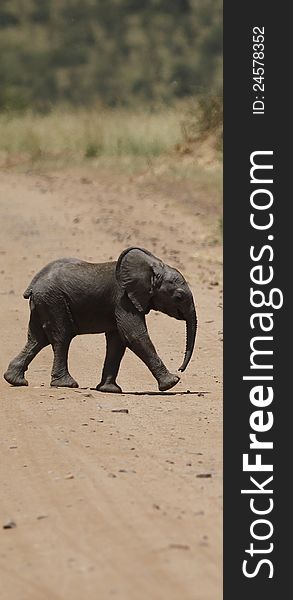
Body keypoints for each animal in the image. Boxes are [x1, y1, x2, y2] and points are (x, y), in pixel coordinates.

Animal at [3, 246, 196, 392]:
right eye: (179, 296)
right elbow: (134, 336)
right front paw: (172, 383)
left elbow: (117, 342)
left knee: (36, 339)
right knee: (61, 337)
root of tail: (34, 284)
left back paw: (15, 380)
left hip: (44, 303)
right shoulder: (123, 299)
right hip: (54, 301)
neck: (149, 269)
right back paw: (66, 384)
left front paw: (109, 390)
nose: (180, 369)